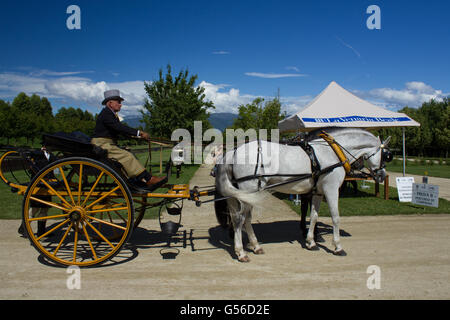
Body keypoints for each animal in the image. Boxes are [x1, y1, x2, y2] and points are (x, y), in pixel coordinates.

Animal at [214, 128, 390, 262]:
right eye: (386, 155)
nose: (382, 175)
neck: (331, 152)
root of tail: (233, 152)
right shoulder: (331, 189)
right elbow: (335, 217)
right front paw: (338, 247)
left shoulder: (318, 192)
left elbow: (314, 216)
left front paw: (311, 242)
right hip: (248, 191)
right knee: (240, 219)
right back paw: (241, 252)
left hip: (240, 195)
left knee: (244, 219)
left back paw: (256, 246)